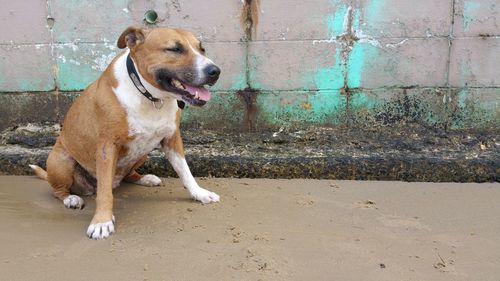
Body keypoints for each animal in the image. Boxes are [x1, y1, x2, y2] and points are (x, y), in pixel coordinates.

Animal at [29, 25, 221, 238]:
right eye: (174, 49)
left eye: (202, 49)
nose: (215, 71)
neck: (150, 96)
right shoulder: (107, 147)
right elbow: (104, 192)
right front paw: (101, 221)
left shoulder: (172, 138)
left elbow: (185, 171)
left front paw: (199, 193)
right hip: (61, 161)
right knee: (59, 190)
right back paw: (71, 199)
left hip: (142, 153)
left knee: (128, 174)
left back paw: (144, 178)